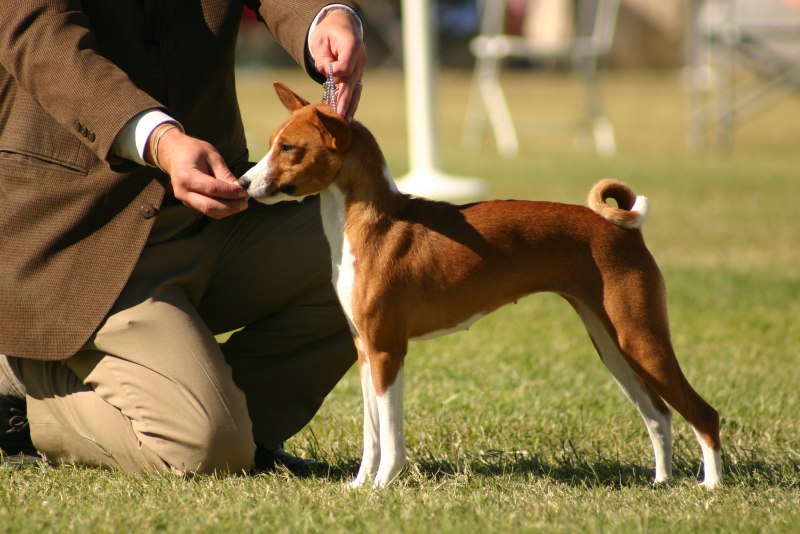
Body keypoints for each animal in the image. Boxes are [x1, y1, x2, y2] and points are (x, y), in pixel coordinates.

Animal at [239, 82, 724, 490]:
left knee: (703, 413)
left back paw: (711, 486)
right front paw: (360, 485)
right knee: (659, 415)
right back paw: (661, 482)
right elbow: (371, 434)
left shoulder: (387, 349)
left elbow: (391, 436)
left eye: (289, 148)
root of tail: (620, 227)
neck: (371, 224)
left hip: (640, 337)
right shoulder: (363, 350)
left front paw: (382, 486)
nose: (242, 182)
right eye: (272, 143)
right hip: (613, 345)